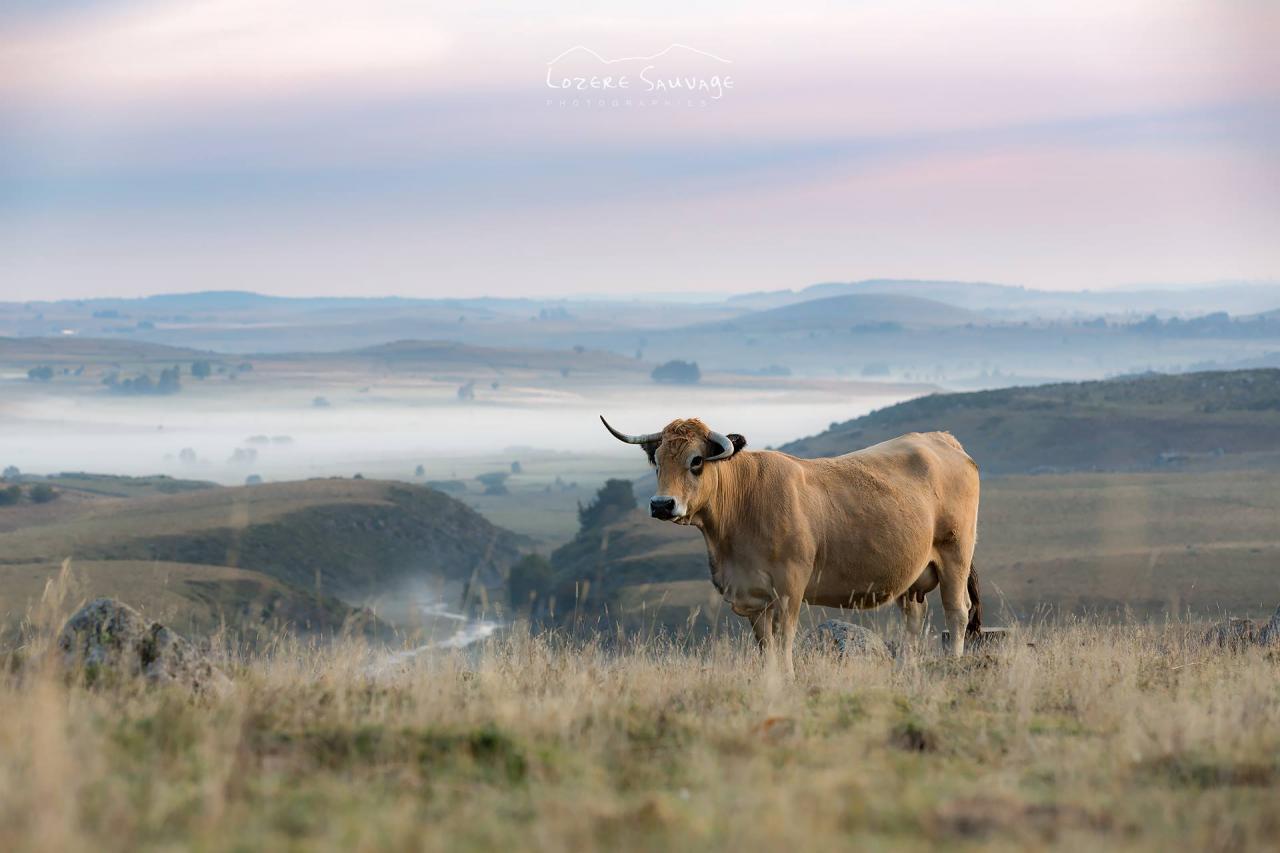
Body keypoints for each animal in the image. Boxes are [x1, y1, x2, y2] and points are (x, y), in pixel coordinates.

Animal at [599, 414, 977, 676]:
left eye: (696, 461)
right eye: (657, 461)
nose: (662, 504)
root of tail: (940, 439)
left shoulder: (790, 588)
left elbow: (783, 640)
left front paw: (790, 678)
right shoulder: (752, 597)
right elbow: (765, 645)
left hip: (955, 554)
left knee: (957, 611)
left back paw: (954, 664)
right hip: (911, 575)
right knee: (914, 617)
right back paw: (905, 670)